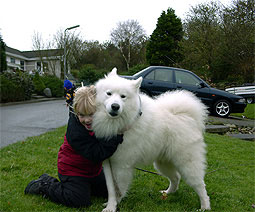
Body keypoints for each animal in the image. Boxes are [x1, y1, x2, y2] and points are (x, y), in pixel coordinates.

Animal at [92, 68, 210, 212]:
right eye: (108, 93)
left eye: (123, 96)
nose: (115, 106)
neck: (119, 123)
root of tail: (188, 117)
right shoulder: (108, 162)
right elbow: (110, 188)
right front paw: (110, 204)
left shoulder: (121, 164)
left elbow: (118, 188)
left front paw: (114, 205)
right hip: (163, 163)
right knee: (176, 177)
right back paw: (167, 193)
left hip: (187, 164)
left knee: (200, 185)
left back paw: (205, 207)